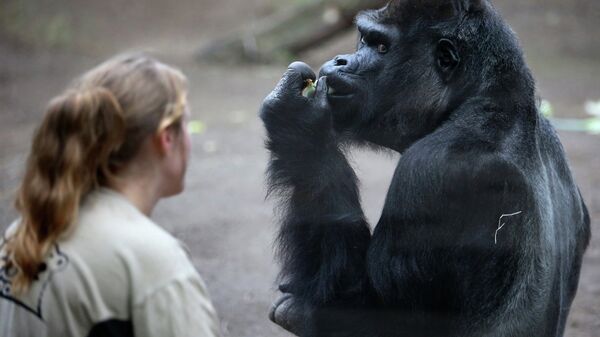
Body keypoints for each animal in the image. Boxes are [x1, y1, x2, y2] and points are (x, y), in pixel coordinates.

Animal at [258, 1, 592, 334]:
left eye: (381, 46)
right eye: (363, 39)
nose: (341, 60)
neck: (487, 97)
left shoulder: (434, 169)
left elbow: (367, 312)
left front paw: (299, 126)